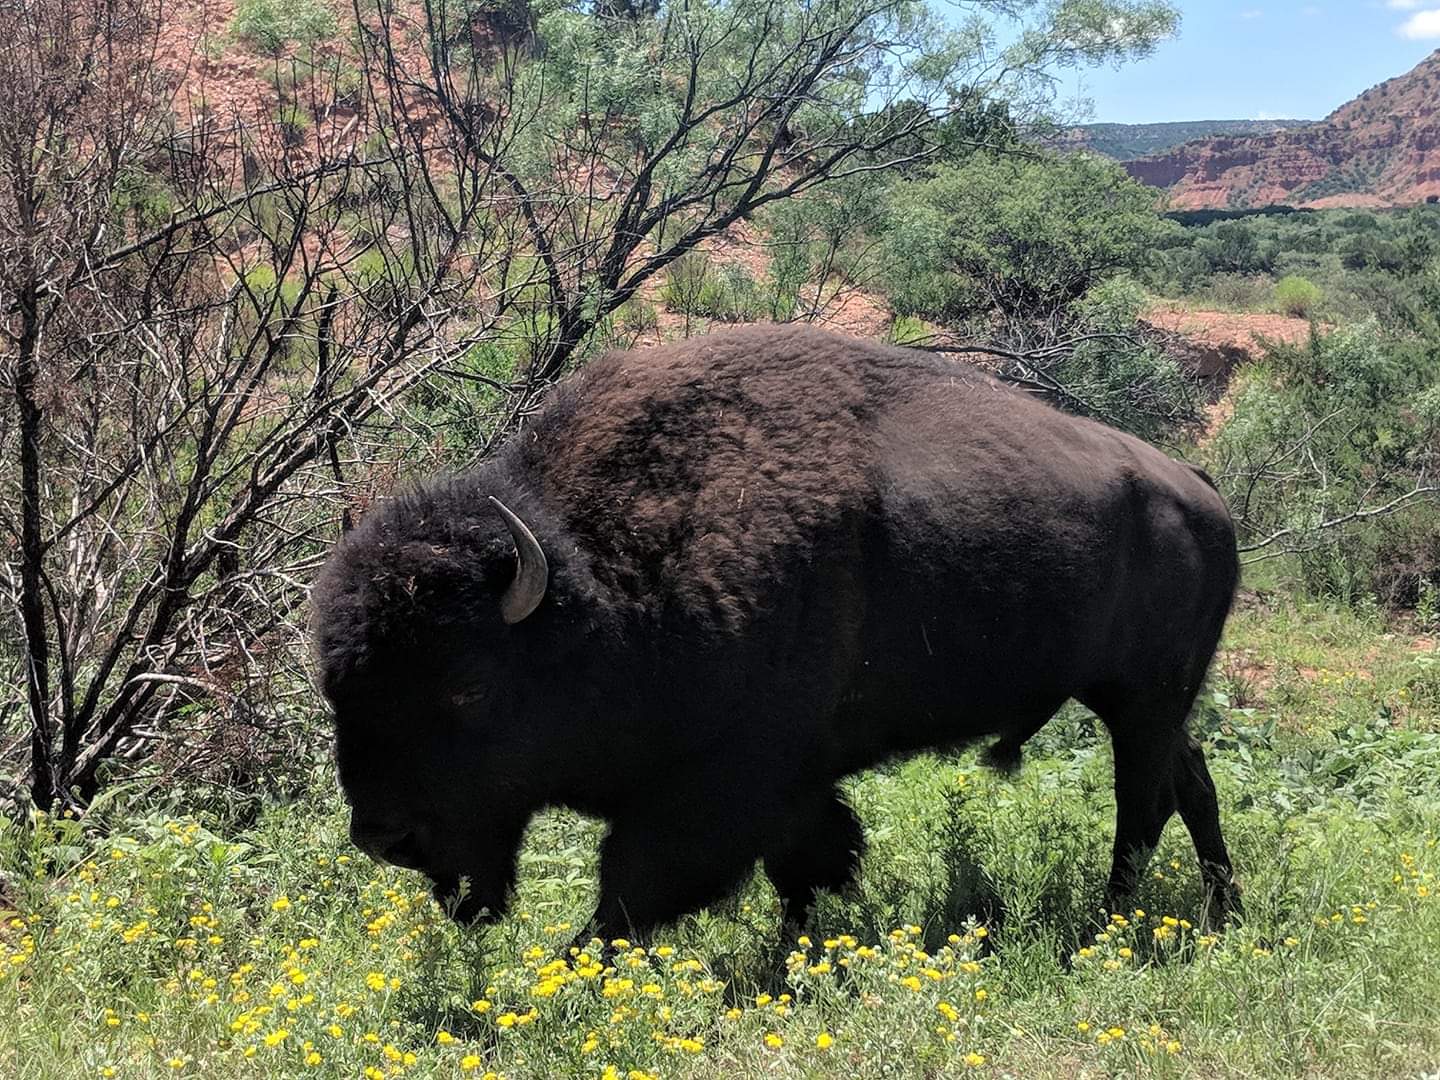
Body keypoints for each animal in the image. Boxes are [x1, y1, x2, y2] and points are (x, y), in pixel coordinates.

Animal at [311, 324, 1241, 938]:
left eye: (467, 685)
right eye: (336, 688)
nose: (383, 836)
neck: (604, 579)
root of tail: (1200, 488)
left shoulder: (722, 786)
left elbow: (633, 888)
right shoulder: (791, 784)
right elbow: (811, 860)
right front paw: (803, 950)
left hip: (1141, 699)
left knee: (1142, 799)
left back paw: (1112, 920)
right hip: (1153, 703)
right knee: (1191, 783)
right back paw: (1220, 910)